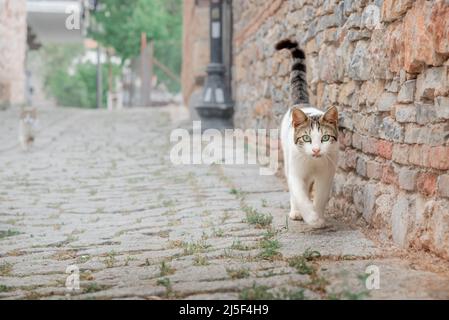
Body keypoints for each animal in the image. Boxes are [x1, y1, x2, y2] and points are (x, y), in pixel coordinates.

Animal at [274, 38, 338, 228]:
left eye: (325, 138)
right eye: (306, 138)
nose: (316, 150)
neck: (313, 163)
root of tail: (302, 103)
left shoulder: (326, 173)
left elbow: (321, 196)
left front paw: (318, 216)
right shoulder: (296, 172)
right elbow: (300, 195)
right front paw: (310, 216)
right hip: (288, 159)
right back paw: (295, 212)